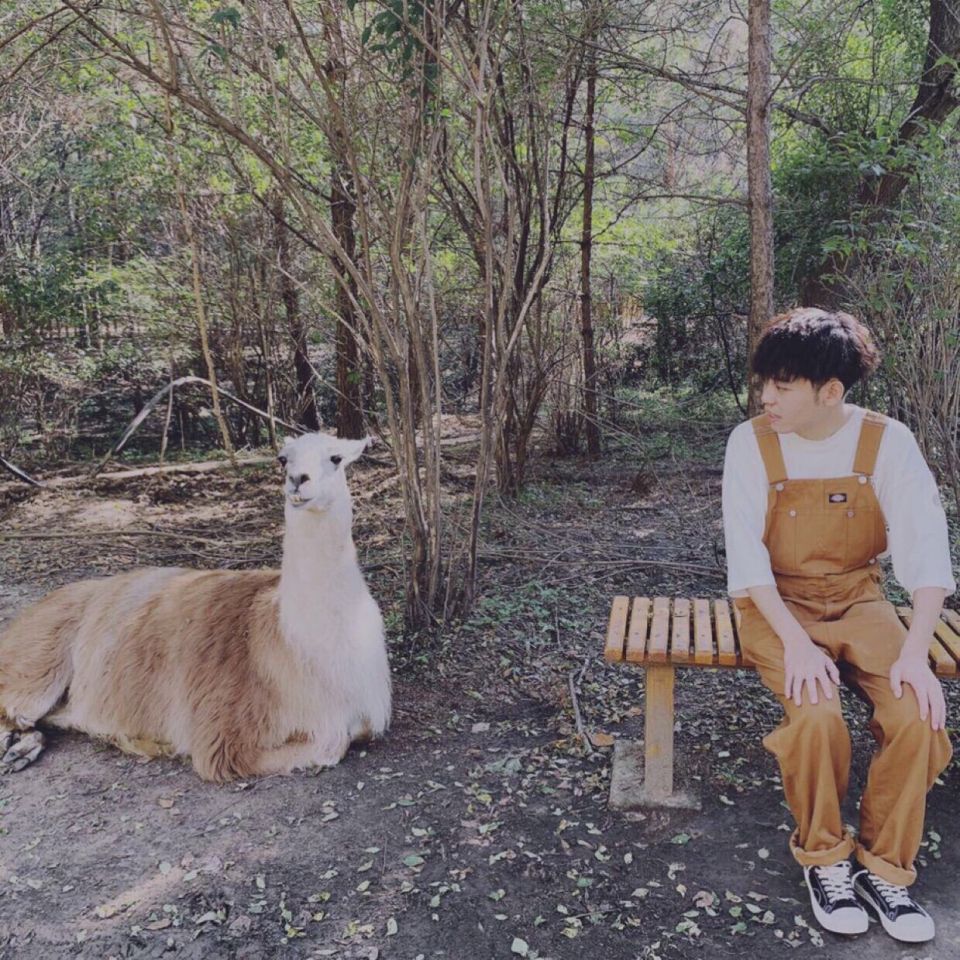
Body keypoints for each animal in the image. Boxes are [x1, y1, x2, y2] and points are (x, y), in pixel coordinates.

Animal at [0, 433, 391, 781]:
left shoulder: (366, 716)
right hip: (35, 662)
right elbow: (331, 744)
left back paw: (20, 750)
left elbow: (348, 735)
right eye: (283, 459)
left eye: (336, 458)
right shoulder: (223, 737)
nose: (298, 480)